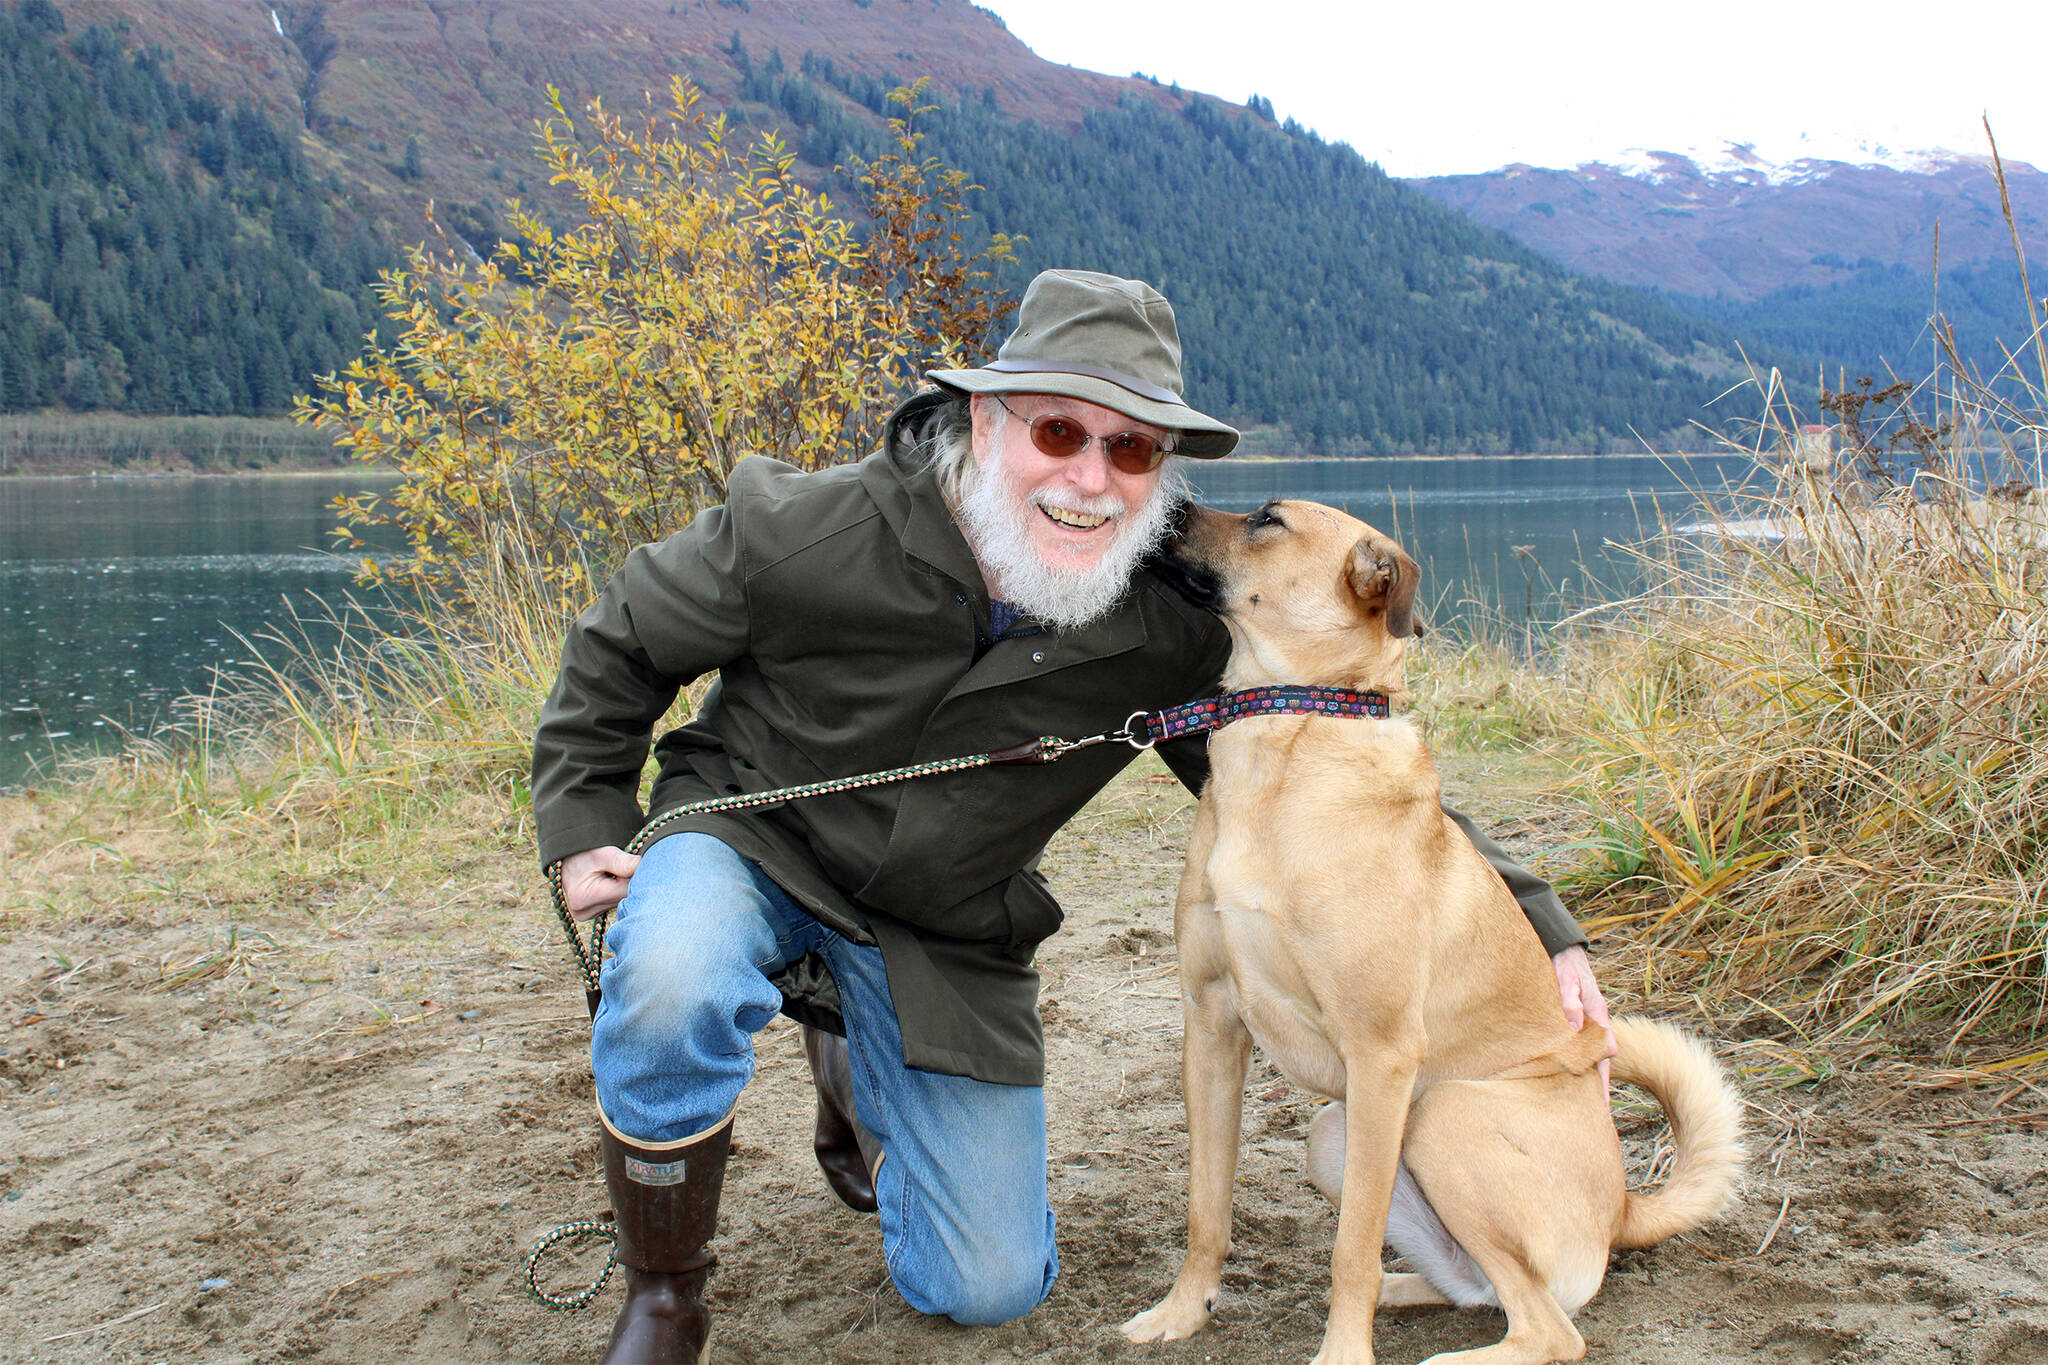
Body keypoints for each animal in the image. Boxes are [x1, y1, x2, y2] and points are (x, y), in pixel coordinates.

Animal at [1122, 501, 1744, 1365]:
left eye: (1268, 520)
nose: (1168, 504)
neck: (1291, 722)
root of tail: (1624, 1208)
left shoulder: (1381, 1053)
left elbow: (1349, 1248)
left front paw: (1342, 1356)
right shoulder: (1211, 1023)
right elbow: (1206, 1208)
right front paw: (1182, 1312)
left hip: (1442, 1117)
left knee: (1550, 1327)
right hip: (1337, 1133)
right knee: (1474, 1287)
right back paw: (1402, 1295)